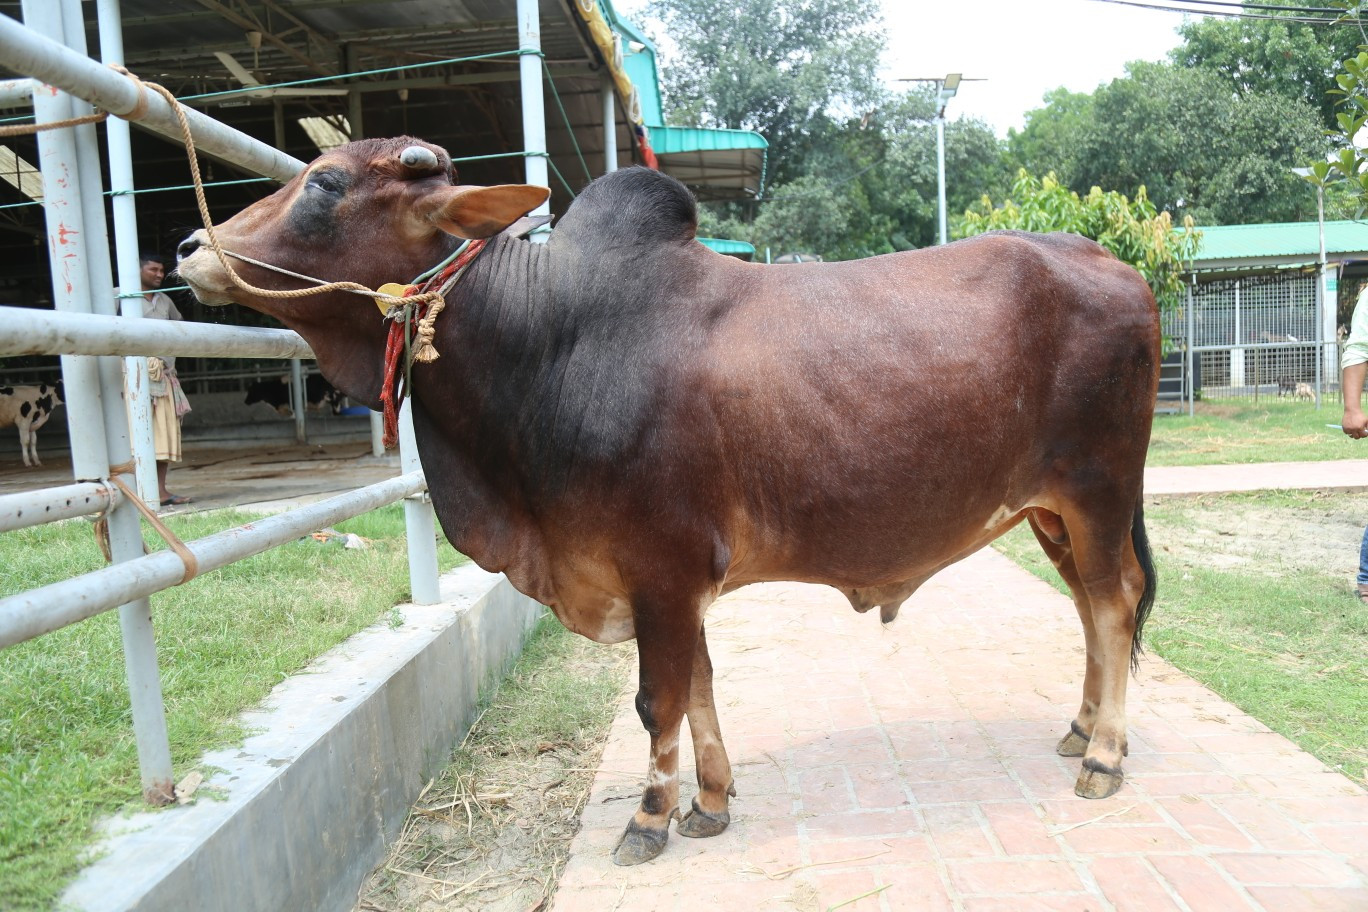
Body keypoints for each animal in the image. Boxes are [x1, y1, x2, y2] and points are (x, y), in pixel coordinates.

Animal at [176, 137, 1159, 867]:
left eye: (326, 184)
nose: (189, 248)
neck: (547, 341)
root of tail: (1112, 262)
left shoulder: (660, 567)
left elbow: (660, 699)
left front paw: (649, 817)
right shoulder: (677, 579)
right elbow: (698, 687)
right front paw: (710, 802)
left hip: (1099, 491)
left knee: (1113, 606)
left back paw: (1106, 756)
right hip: (1048, 512)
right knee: (1088, 609)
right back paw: (1079, 728)